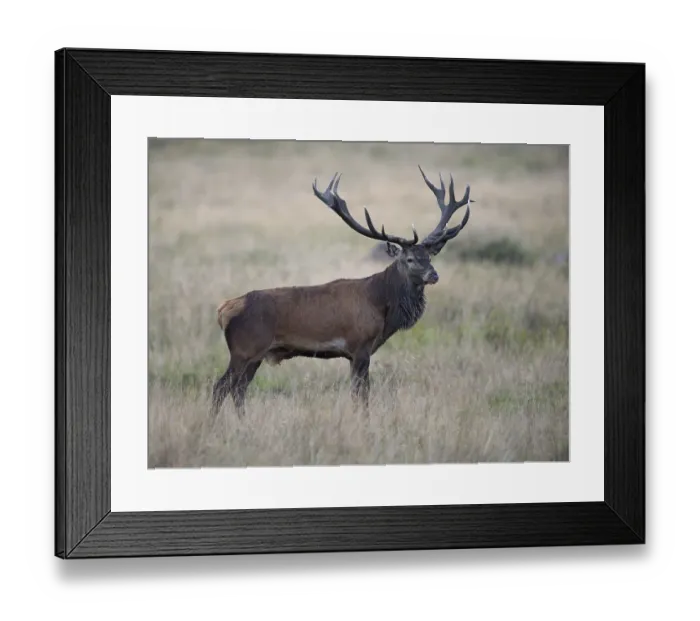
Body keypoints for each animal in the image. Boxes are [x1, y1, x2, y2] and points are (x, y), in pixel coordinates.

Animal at [211, 166, 473, 418]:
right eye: (409, 259)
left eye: (428, 257)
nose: (434, 275)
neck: (382, 305)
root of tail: (223, 310)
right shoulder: (360, 346)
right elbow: (362, 395)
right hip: (244, 349)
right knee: (221, 386)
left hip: (256, 355)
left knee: (239, 389)